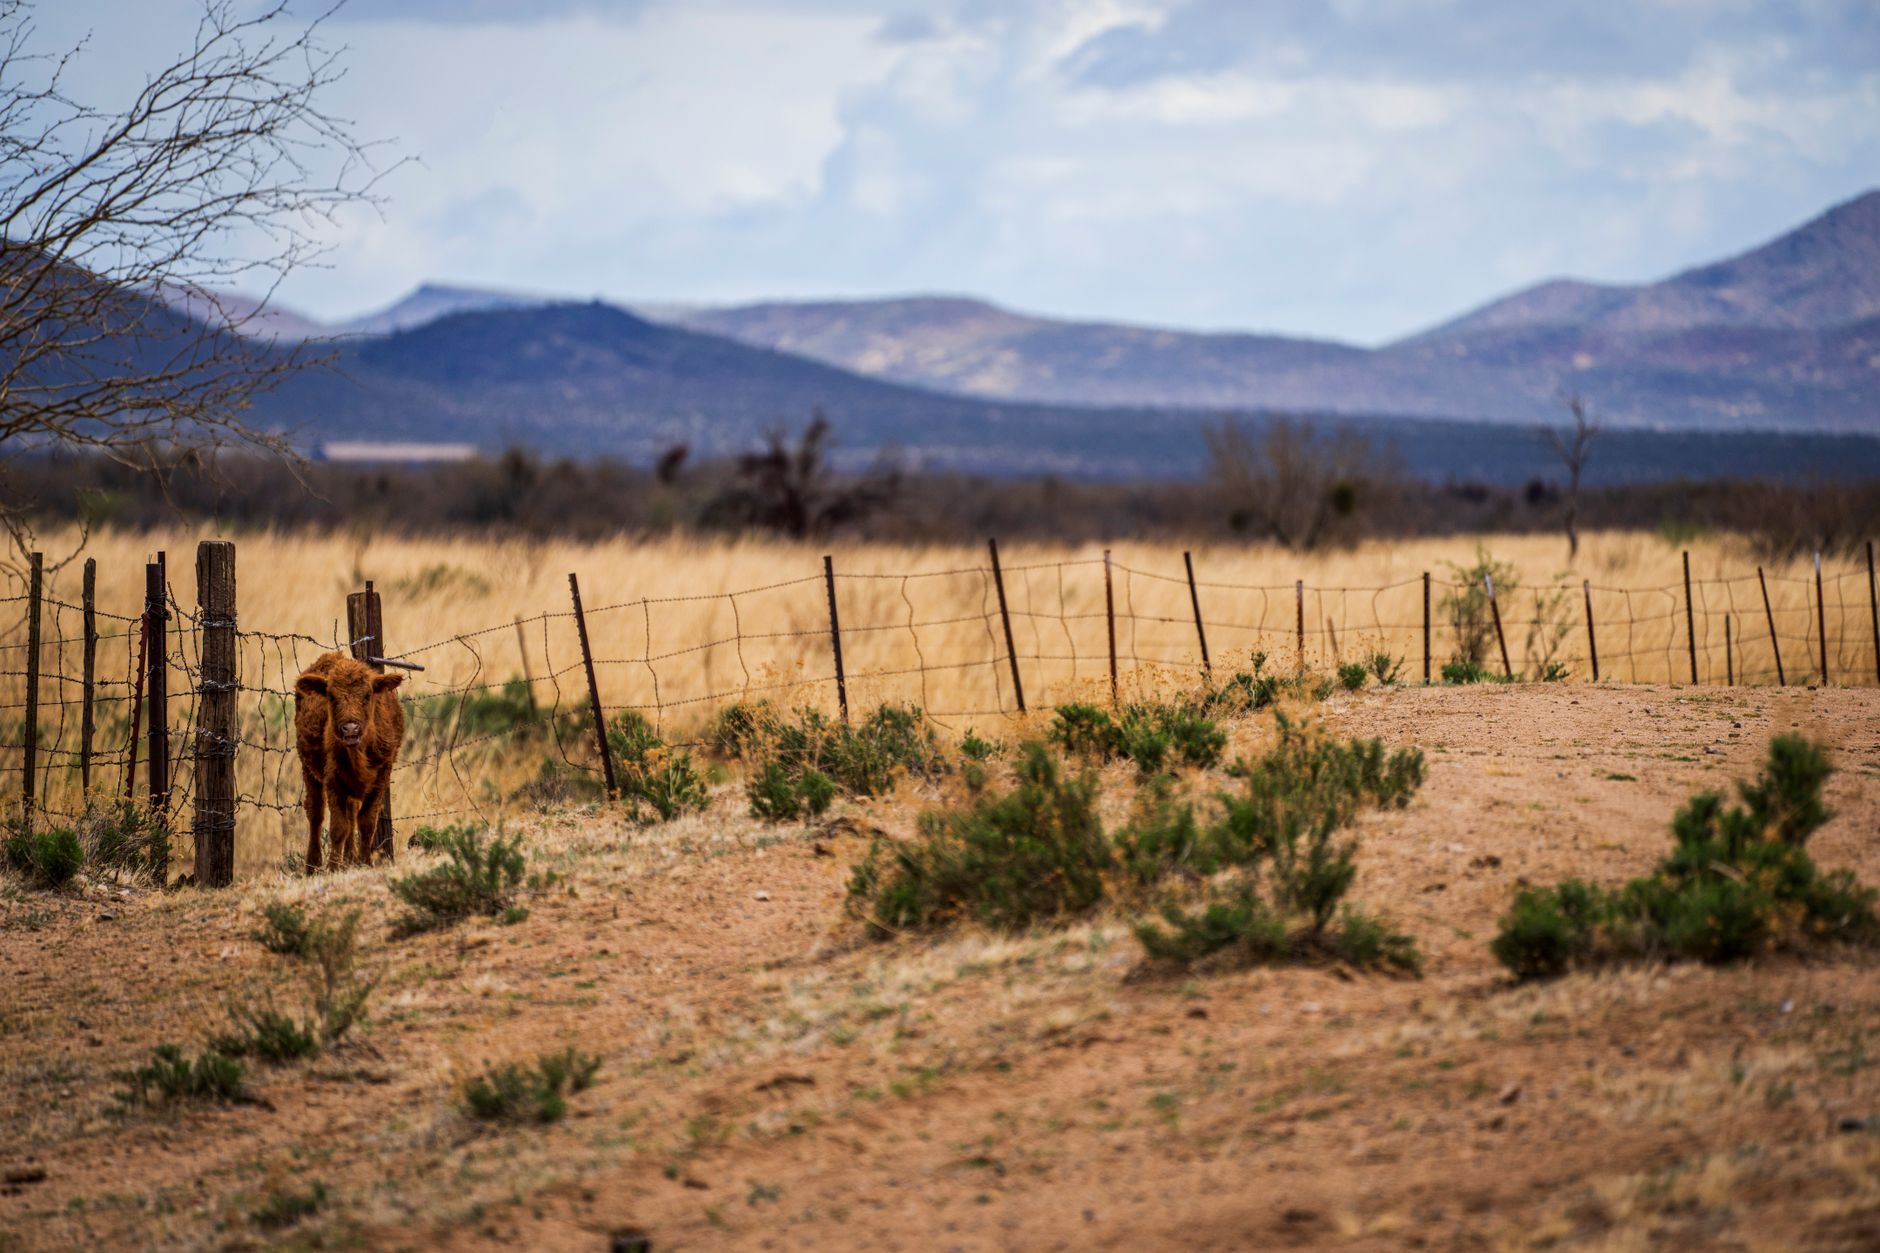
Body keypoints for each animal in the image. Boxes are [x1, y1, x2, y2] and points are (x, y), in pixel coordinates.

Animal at [294, 651, 406, 873]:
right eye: (331, 696)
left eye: (367, 695)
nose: (350, 729)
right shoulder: (333, 781)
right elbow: (339, 827)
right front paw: (333, 868)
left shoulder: (380, 779)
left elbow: (366, 822)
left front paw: (365, 862)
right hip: (308, 770)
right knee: (315, 812)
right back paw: (312, 866)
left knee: (352, 812)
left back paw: (349, 858)